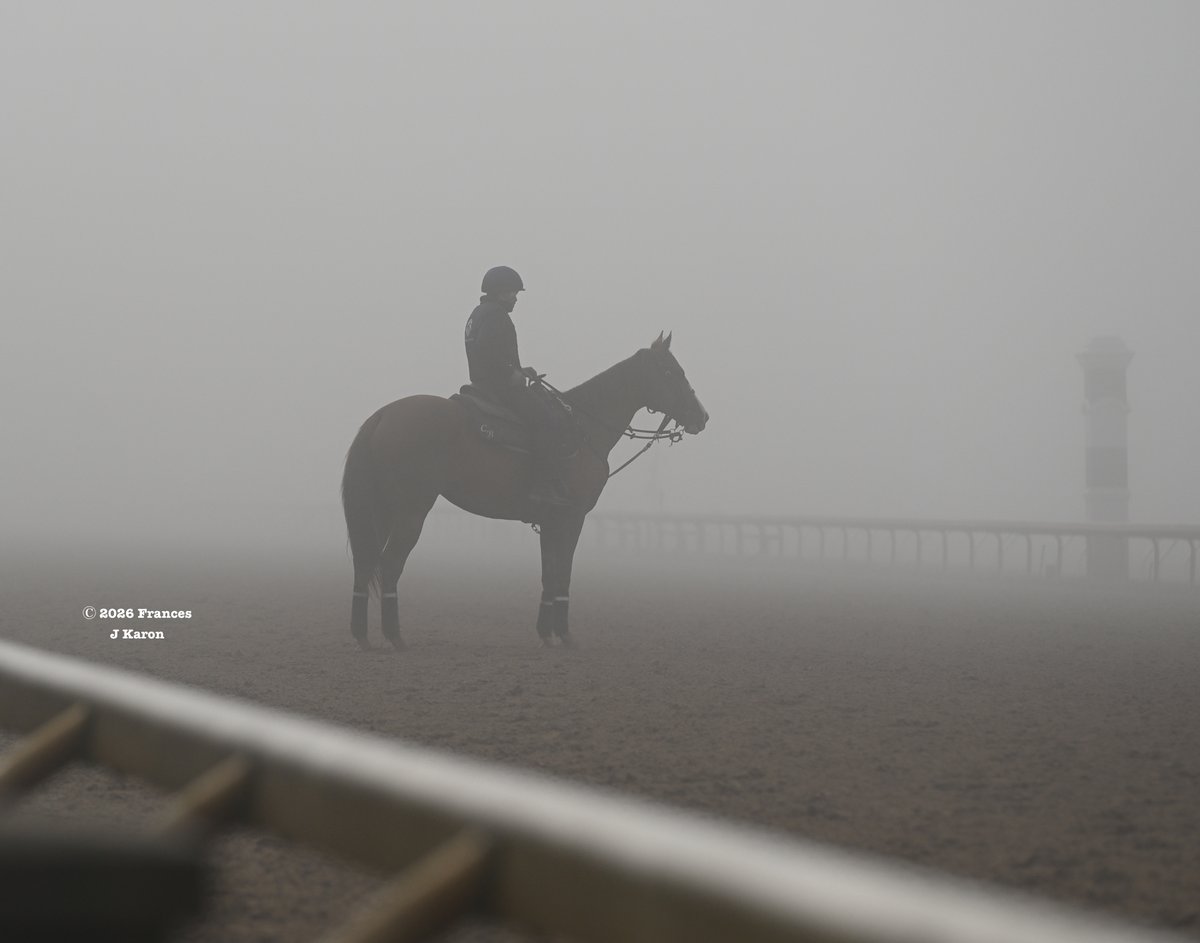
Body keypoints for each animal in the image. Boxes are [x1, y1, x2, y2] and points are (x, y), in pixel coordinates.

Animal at [340, 331, 708, 650]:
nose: (702, 417)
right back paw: (395, 635)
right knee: (390, 564)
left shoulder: (549, 522)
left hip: (382, 512)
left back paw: (362, 636)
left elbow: (549, 574)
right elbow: (563, 574)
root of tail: (383, 416)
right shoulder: (572, 518)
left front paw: (545, 633)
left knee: (365, 562)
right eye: (672, 372)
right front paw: (565, 635)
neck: (582, 429)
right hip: (411, 511)